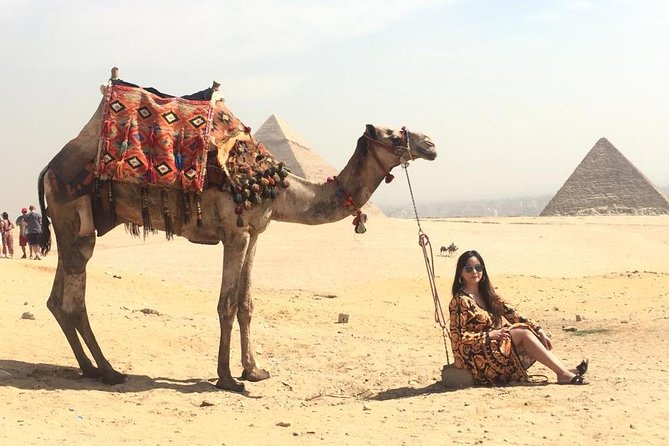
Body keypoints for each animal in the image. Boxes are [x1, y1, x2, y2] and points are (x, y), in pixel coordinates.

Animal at [38, 80, 437, 392]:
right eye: (391, 134)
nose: (430, 143)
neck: (279, 187)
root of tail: (47, 169)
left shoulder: (255, 234)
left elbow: (246, 303)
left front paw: (254, 370)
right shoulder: (235, 234)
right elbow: (226, 303)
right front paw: (227, 378)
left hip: (71, 227)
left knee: (58, 299)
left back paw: (89, 368)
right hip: (74, 213)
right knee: (74, 299)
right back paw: (108, 370)